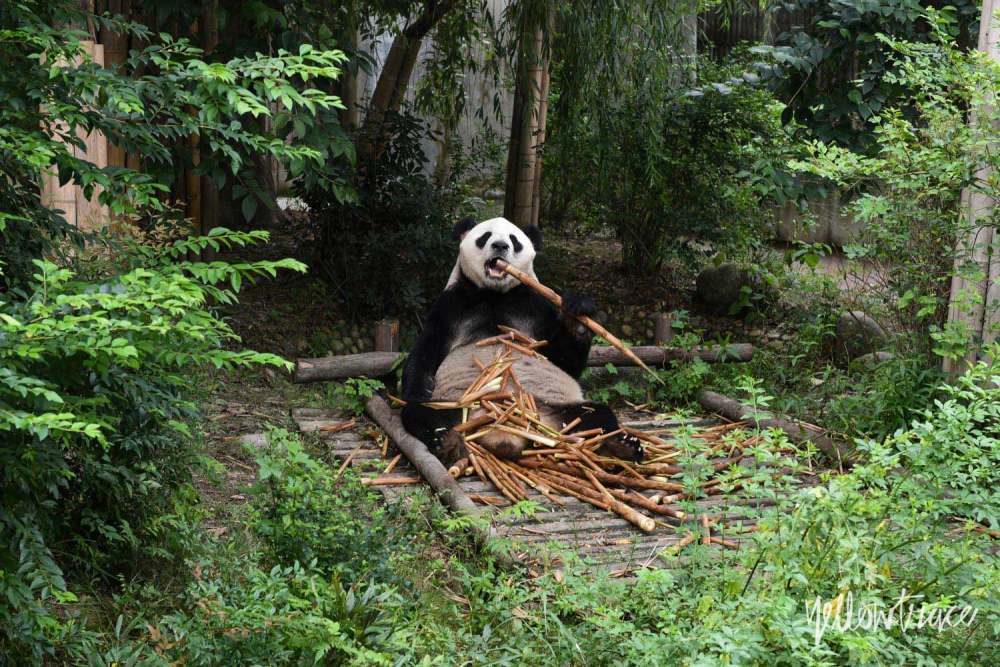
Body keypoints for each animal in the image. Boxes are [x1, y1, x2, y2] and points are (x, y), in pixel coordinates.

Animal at [402, 217, 644, 468]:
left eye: (514, 240)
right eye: (485, 237)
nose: (500, 246)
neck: (494, 293)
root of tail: (504, 430)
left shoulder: (535, 304)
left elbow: (562, 361)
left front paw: (578, 315)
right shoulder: (451, 304)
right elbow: (426, 351)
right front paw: (420, 389)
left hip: (557, 409)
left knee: (597, 415)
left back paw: (622, 446)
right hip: (458, 406)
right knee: (421, 413)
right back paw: (445, 439)